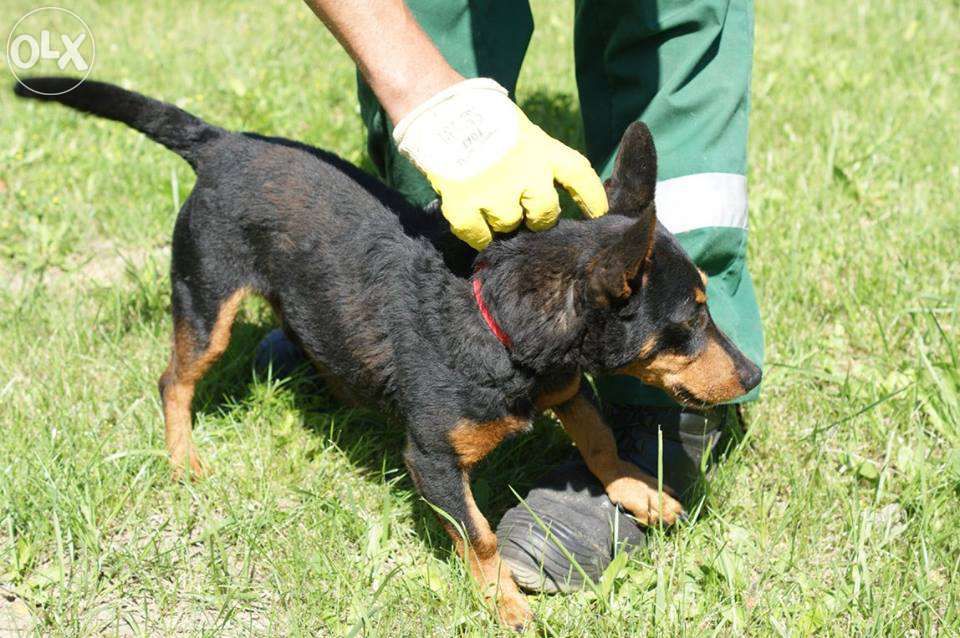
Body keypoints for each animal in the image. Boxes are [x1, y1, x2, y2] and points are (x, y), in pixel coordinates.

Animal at [15, 79, 760, 632]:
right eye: (691, 319)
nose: (755, 374)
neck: (498, 322)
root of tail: (223, 145)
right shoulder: (431, 459)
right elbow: (480, 535)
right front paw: (503, 602)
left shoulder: (566, 385)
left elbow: (600, 439)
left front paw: (639, 491)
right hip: (207, 300)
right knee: (173, 379)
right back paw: (182, 459)